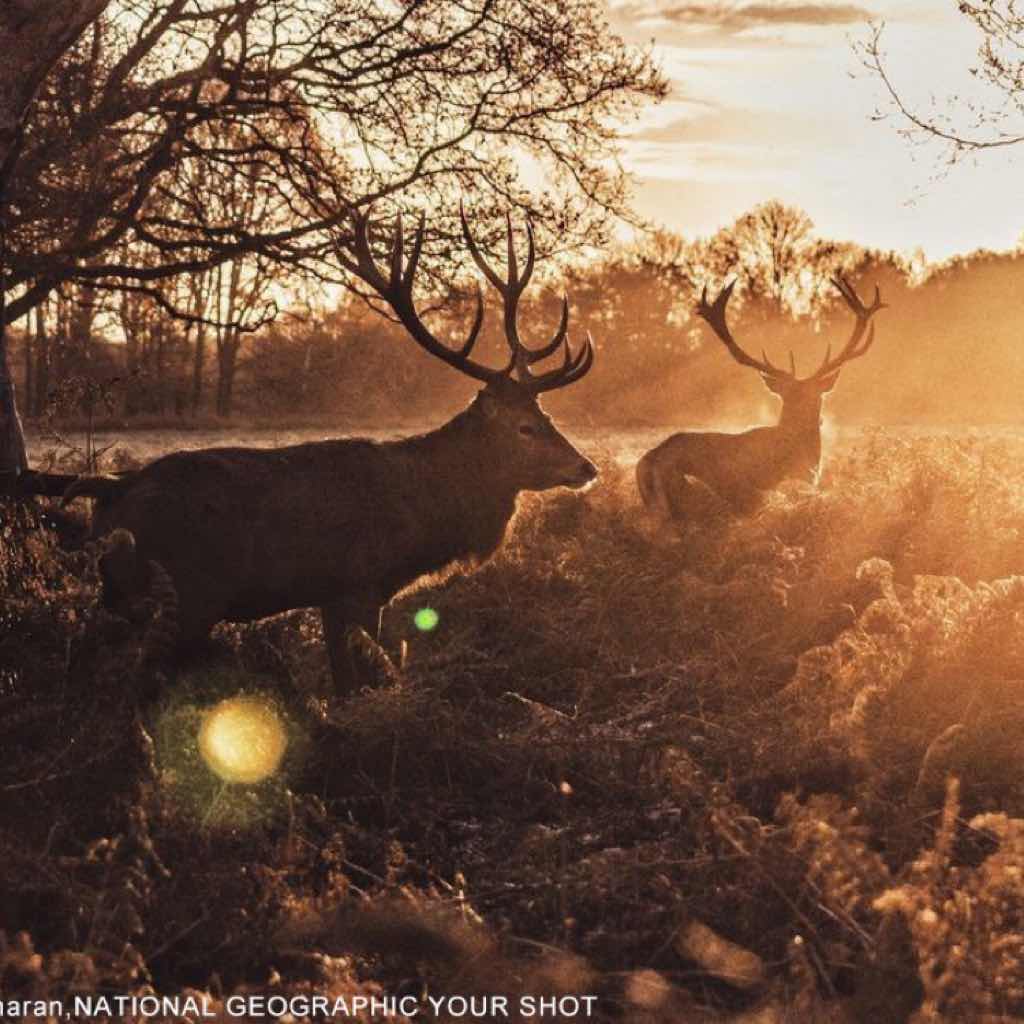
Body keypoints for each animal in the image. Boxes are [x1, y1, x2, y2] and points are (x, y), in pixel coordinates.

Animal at [54, 210, 598, 700]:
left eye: (547, 415)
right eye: (525, 427)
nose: (586, 467)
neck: (422, 511)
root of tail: (112, 490)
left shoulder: (332, 597)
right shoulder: (355, 586)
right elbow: (353, 686)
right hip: (188, 592)